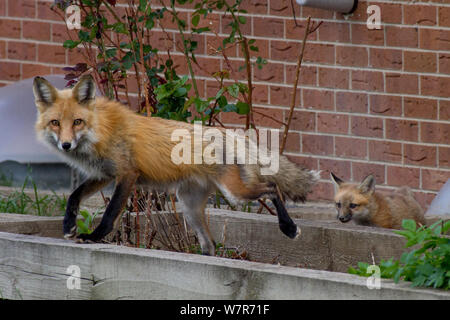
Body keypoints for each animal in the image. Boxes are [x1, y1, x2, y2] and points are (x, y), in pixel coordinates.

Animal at [32, 75, 320, 255]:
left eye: (77, 122)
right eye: (55, 123)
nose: (66, 145)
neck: (101, 131)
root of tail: (231, 135)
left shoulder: (127, 174)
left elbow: (110, 213)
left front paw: (93, 237)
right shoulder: (104, 174)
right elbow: (74, 196)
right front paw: (68, 225)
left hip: (235, 193)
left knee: (272, 188)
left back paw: (289, 228)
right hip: (191, 208)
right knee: (210, 245)